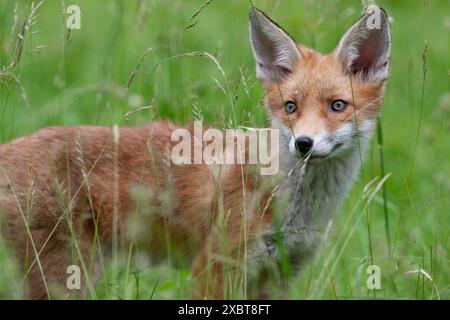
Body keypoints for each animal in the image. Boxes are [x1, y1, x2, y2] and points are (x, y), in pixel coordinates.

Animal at [0, 6, 390, 298]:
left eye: (337, 106)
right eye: (290, 107)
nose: (303, 143)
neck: (295, 208)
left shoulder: (277, 276)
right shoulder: (214, 269)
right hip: (68, 275)